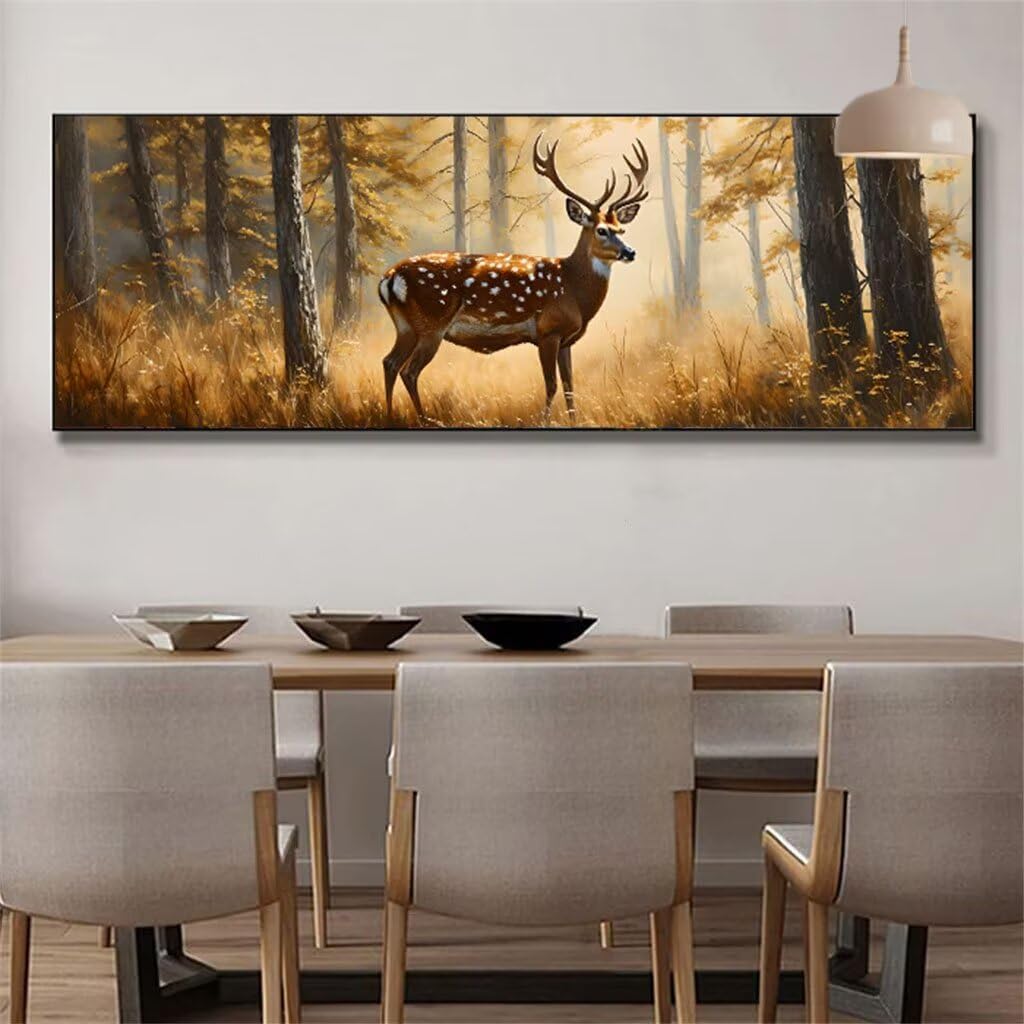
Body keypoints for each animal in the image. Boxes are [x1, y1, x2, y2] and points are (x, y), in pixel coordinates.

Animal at [378, 135, 650, 424]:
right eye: (601, 230)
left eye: (622, 229)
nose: (630, 252)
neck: (573, 289)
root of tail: (389, 278)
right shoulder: (548, 329)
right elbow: (551, 384)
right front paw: (544, 421)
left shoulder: (566, 339)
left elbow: (569, 385)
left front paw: (574, 420)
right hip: (432, 323)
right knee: (409, 370)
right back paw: (425, 419)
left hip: (406, 325)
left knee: (389, 362)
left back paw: (390, 416)